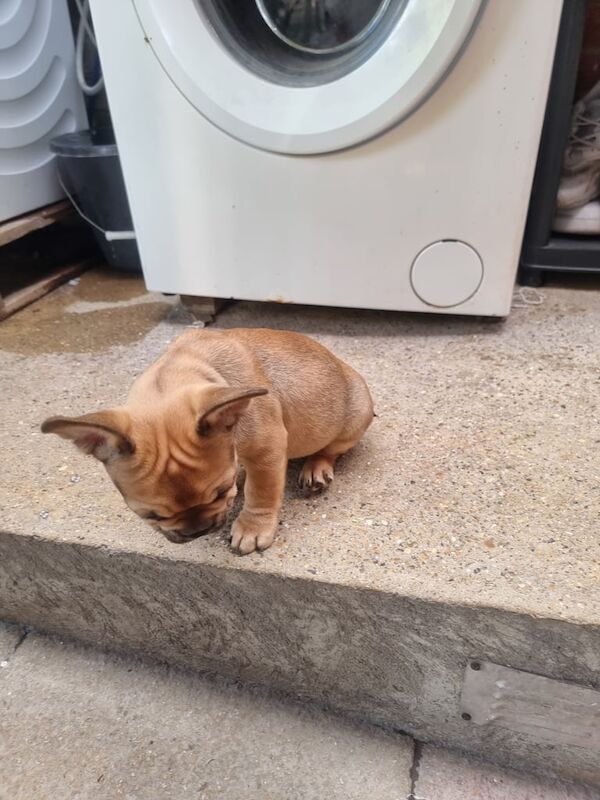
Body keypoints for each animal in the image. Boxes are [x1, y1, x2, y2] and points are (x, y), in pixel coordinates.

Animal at [41, 328, 374, 554]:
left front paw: (253, 528)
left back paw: (316, 468)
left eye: (222, 491)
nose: (197, 531)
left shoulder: (266, 448)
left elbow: (261, 493)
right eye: (151, 515)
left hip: (355, 416)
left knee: (330, 450)